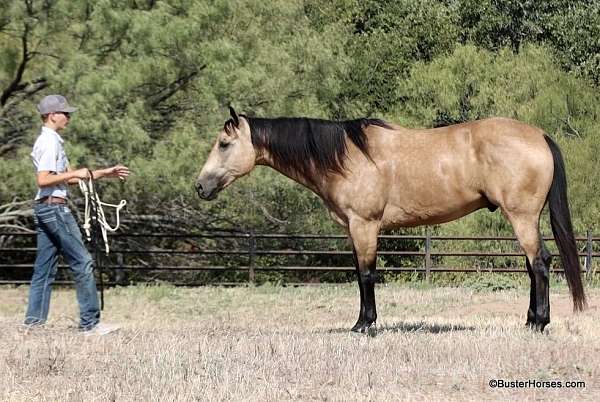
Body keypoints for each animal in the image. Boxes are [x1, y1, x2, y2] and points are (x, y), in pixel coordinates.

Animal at [196, 107, 584, 332]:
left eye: (224, 144)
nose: (200, 186)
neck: (345, 157)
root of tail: (539, 135)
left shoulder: (364, 225)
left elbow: (366, 275)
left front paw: (364, 326)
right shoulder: (354, 230)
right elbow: (360, 274)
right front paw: (363, 322)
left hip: (522, 217)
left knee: (541, 263)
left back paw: (538, 323)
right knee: (533, 267)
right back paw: (530, 320)